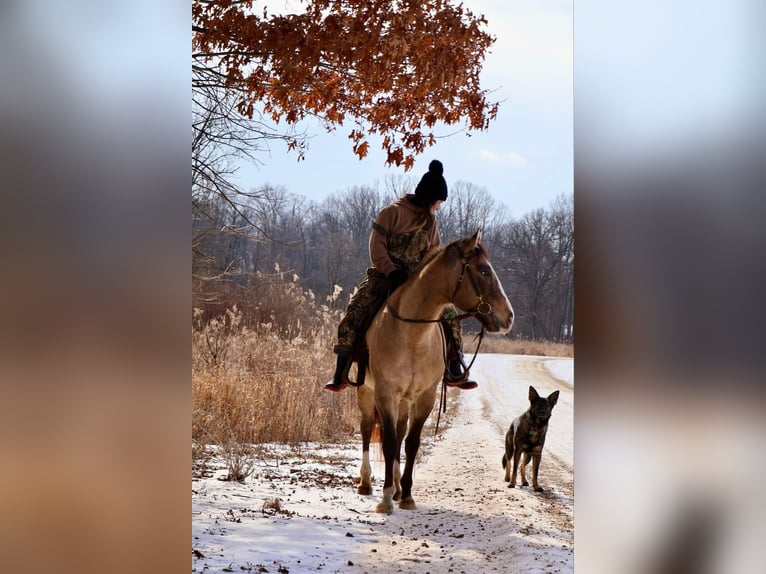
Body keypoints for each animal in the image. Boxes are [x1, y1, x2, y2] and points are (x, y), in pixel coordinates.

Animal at [355, 229, 514, 514]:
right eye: (484, 271)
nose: (509, 317)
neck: (412, 335)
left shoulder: (425, 397)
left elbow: (410, 442)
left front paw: (406, 495)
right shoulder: (385, 393)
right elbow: (389, 442)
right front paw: (385, 499)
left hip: (404, 400)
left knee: (400, 432)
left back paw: (397, 486)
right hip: (365, 391)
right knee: (366, 429)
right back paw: (366, 482)